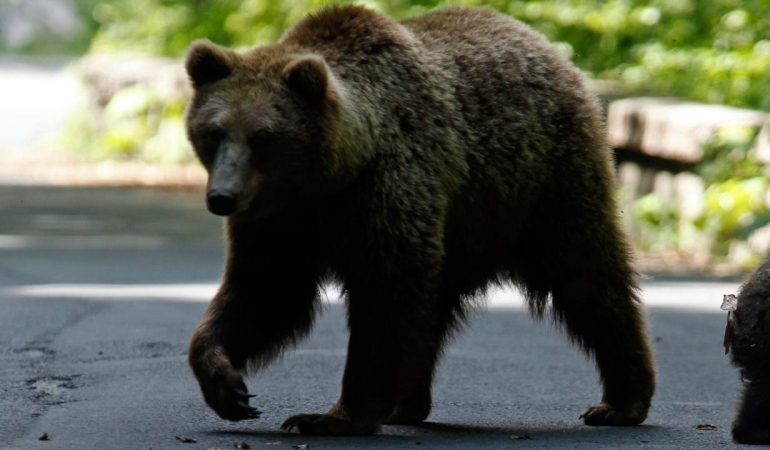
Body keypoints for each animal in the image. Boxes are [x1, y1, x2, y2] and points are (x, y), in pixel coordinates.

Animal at [183, 5, 656, 435]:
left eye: (262, 136)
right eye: (214, 131)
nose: (222, 197)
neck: (333, 177)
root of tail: (546, 47)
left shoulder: (388, 188)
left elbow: (385, 296)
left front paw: (332, 416)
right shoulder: (280, 220)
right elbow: (267, 290)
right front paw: (227, 385)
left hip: (544, 184)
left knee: (587, 277)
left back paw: (620, 402)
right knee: (434, 310)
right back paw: (407, 403)